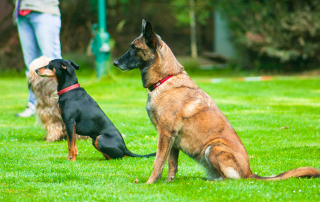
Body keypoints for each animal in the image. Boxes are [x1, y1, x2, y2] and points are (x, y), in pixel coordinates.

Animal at [114, 20, 318, 183]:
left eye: (134, 48)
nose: (115, 63)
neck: (165, 79)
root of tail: (250, 173)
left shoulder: (165, 134)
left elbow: (158, 162)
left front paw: (150, 183)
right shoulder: (172, 140)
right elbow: (171, 164)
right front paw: (168, 182)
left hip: (213, 148)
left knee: (232, 179)